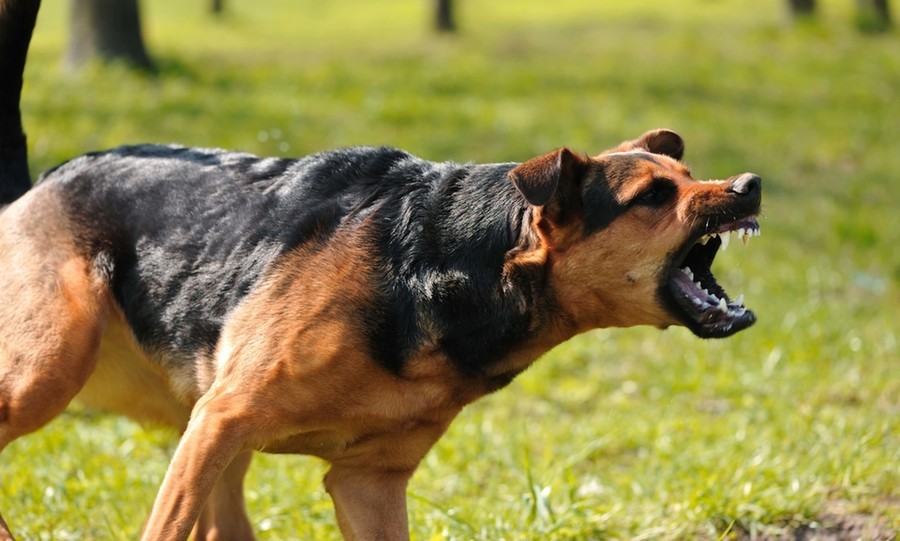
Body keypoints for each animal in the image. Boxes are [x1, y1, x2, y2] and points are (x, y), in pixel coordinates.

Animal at [0, 125, 760, 536]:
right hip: (53, 371)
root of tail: (40, 182)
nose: (749, 184)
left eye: (689, 173)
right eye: (653, 196)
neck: (448, 264)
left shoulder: (367, 482)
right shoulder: (225, 419)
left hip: (201, 427)